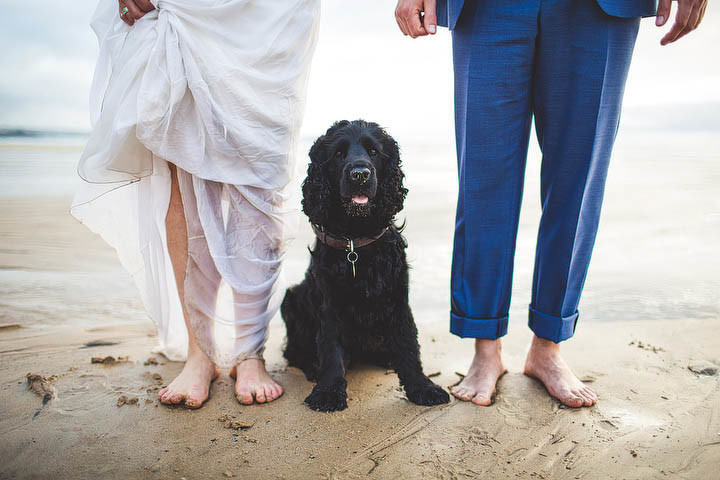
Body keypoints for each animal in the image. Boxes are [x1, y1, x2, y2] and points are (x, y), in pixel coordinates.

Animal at [282, 120, 450, 412]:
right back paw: (311, 366)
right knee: (293, 352)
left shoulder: (397, 299)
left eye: (373, 151)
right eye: (338, 154)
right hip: (291, 298)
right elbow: (330, 351)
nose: (359, 174)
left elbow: (408, 345)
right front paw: (328, 391)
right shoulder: (330, 305)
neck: (355, 241)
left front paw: (423, 387)